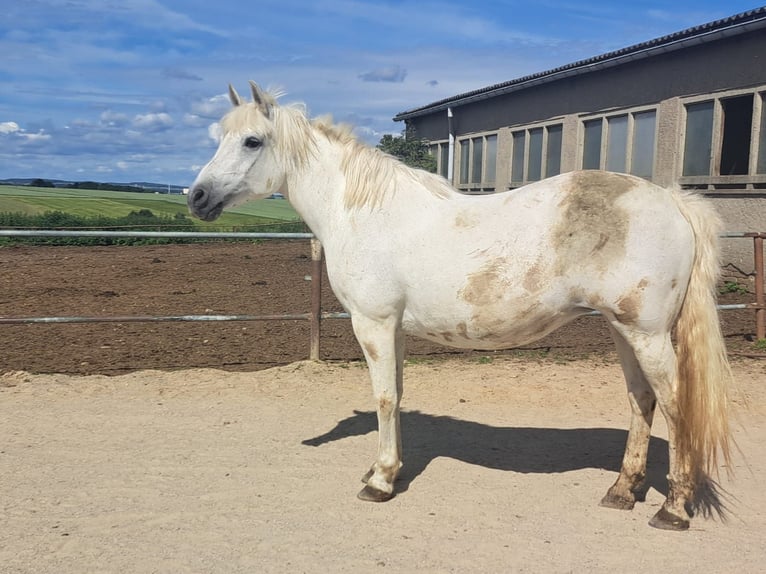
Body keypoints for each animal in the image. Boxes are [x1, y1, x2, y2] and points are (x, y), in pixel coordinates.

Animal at [189, 81, 736, 532]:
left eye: (252, 141)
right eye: (221, 136)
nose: (196, 197)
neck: (365, 212)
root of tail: (671, 199)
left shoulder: (374, 324)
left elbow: (383, 398)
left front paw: (380, 481)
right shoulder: (395, 329)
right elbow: (397, 395)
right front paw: (385, 469)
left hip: (647, 334)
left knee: (674, 404)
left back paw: (672, 509)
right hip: (624, 330)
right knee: (641, 400)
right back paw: (622, 491)